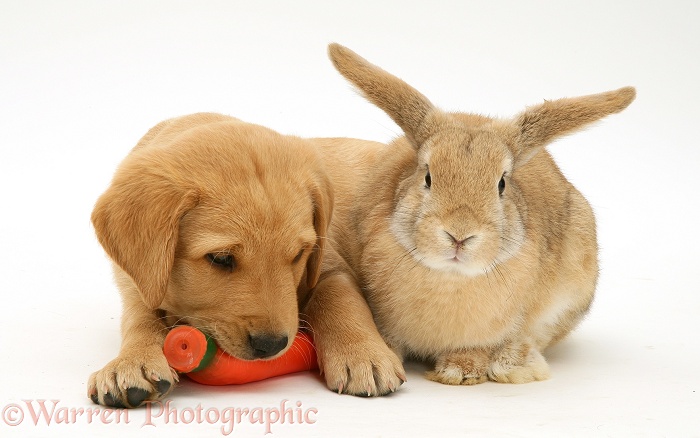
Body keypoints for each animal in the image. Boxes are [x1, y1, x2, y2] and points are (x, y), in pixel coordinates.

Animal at [89, 114, 404, 408]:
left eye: (298, 255)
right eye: (221, 258)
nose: (272, 345)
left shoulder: (327, 262)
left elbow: (340, 298)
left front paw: (363, 354)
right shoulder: (137, 282)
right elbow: (140, 318)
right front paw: (132, 362)